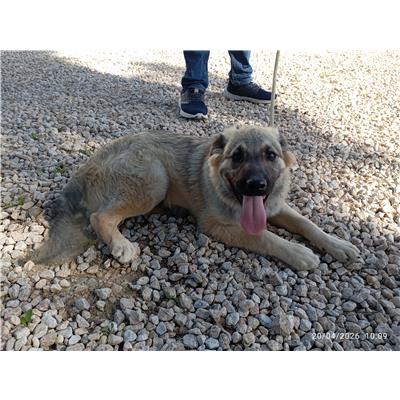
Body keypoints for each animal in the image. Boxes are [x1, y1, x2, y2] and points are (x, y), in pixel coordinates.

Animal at [33, 126, 360, 270]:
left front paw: (338, 245)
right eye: (237, 156)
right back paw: (121, 244)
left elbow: (308, 224)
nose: (257, 185)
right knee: (99, 216)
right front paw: (299, 253)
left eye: (271, 155)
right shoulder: (219, 226)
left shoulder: (275, 205)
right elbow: (266, 237)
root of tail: (89, 164)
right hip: (154, 179)